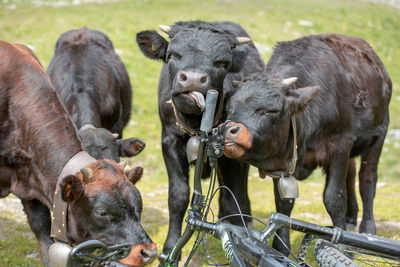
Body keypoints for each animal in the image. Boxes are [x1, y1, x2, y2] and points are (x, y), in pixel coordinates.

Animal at [137, 21, 266, 262]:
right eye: (172, 55)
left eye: (223, 63)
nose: (194, 79)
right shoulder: (169, 142)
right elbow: (178, 196)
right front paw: (170, 248)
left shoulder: (233, 154)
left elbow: (234, 198)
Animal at [223, 34, 392, 254]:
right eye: (229, 108)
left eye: (270, 110)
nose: (230, 131)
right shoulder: (284, 161)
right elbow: (283, 204)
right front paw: (281, 247)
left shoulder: (340, 143)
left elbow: (334, 197)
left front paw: (340, 243)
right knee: (351, 174)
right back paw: (351, 217)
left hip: (378, 136)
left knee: (367, 181)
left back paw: (368, 229)